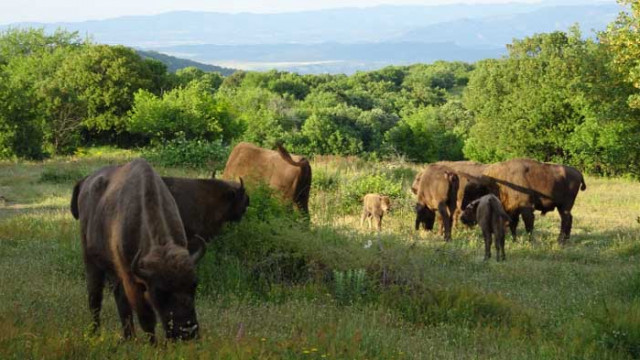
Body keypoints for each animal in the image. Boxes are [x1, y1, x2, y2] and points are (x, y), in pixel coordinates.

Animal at [70, 159, 205, 342]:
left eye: (194, 285)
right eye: (160, 292)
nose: (187, 331)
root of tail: (85, 181)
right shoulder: (132, 280)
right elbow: (147, 318)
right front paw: (153, 345)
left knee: (120, 300)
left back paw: (128, 337)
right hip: (90, 261)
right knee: (95, 297)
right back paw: (95, 334)